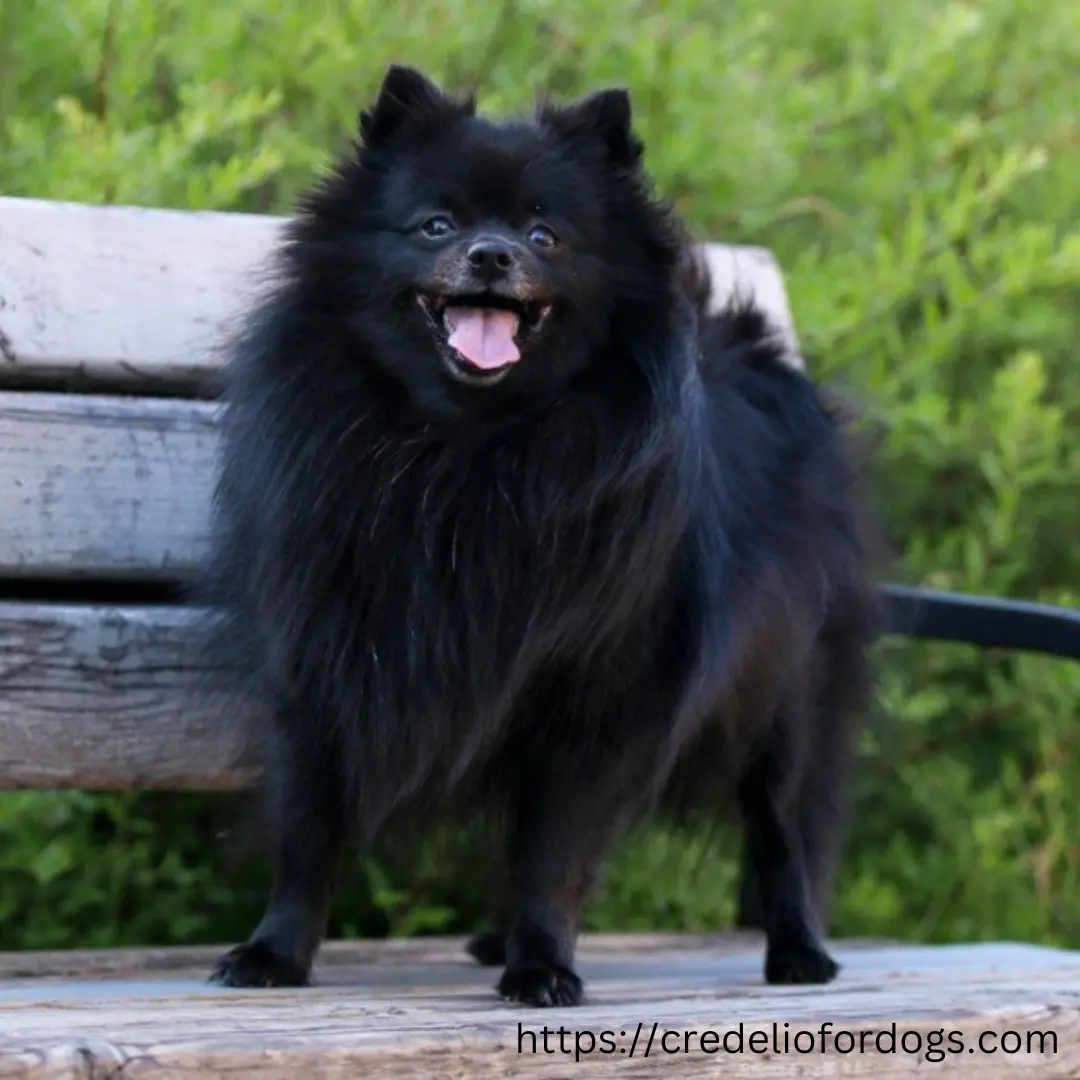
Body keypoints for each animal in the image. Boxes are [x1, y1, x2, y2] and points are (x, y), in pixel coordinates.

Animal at [203, 63, 876, 1006]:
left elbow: (558, 849)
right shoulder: (321, 671)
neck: (469, 449)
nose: (493, 254)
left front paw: (545, 964)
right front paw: (275, 953)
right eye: (437, 224)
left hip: (784, 696)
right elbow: (309, 833)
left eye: (544, 234)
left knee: (782, 827)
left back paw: (800, 951)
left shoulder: (598, 697)